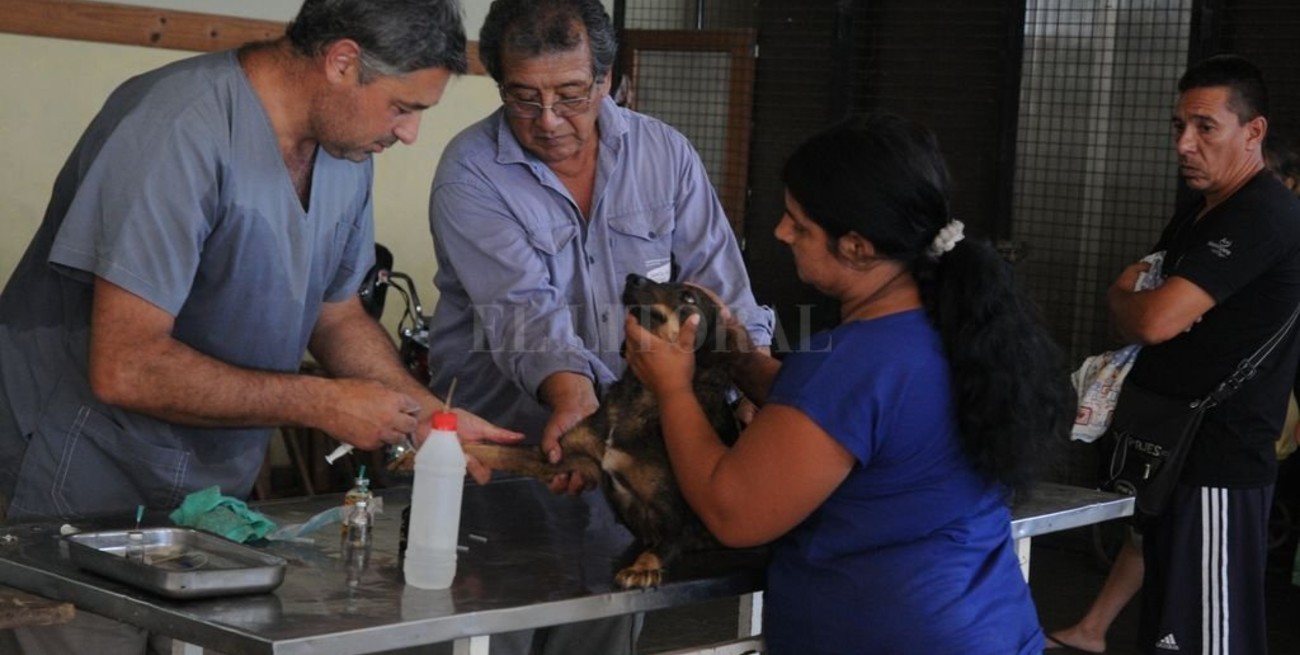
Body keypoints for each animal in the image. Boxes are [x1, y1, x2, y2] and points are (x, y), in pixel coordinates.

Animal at [463, 273, 747, 589]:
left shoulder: (682, 520)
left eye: (688, 298)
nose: (632, 278)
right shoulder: (555, 455)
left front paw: (642, 568)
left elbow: (660, 548)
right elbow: (492, 450)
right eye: (666, 281)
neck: (640, 397)